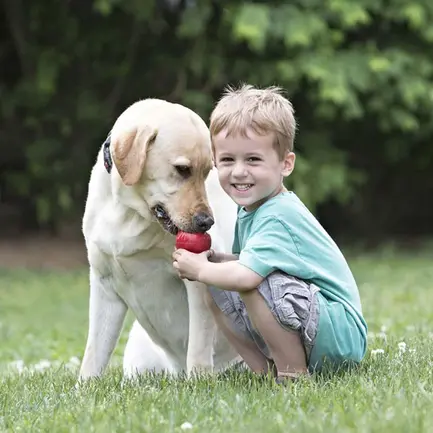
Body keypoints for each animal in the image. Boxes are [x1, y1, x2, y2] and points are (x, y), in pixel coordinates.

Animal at [79, 97, 238, 378]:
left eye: (207, 172)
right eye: (182, 169)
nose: (206, 222)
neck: (128, 212)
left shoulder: (197, 282)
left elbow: (198, 349)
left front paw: (199, 383)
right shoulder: (104, 285)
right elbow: (93, 356)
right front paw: (84, 387)